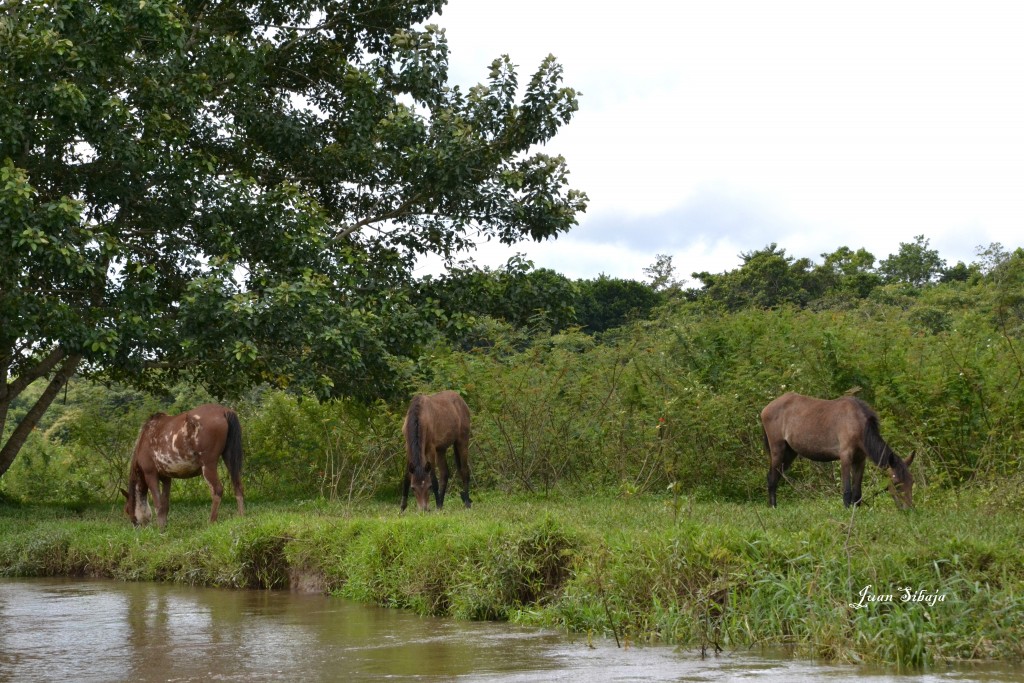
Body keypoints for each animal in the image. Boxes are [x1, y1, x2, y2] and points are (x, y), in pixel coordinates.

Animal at [120, 403, 244, 532]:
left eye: (128, 510)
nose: (136, 528)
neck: (144, 440)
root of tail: (224, 411)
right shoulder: (166, 478)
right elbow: (165, 505)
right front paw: (164, 526)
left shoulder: (150, 474)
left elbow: (158, 504)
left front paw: (160, 529)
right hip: (229, 457)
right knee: (238, 485)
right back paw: (241, 517)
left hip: (208, 465)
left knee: (217, 490)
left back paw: (211, 522)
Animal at [757, 395, 917, 507]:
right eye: (897, 483)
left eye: (912, 481)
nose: (909, 509)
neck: (858, 424)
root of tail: (765, 409)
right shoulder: (845, 456)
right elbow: (847, 491)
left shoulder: (860, 460)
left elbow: (857, 493)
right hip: (778, 450)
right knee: (771, 479)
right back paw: (773, 507)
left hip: (790, 453)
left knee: (776, 476)